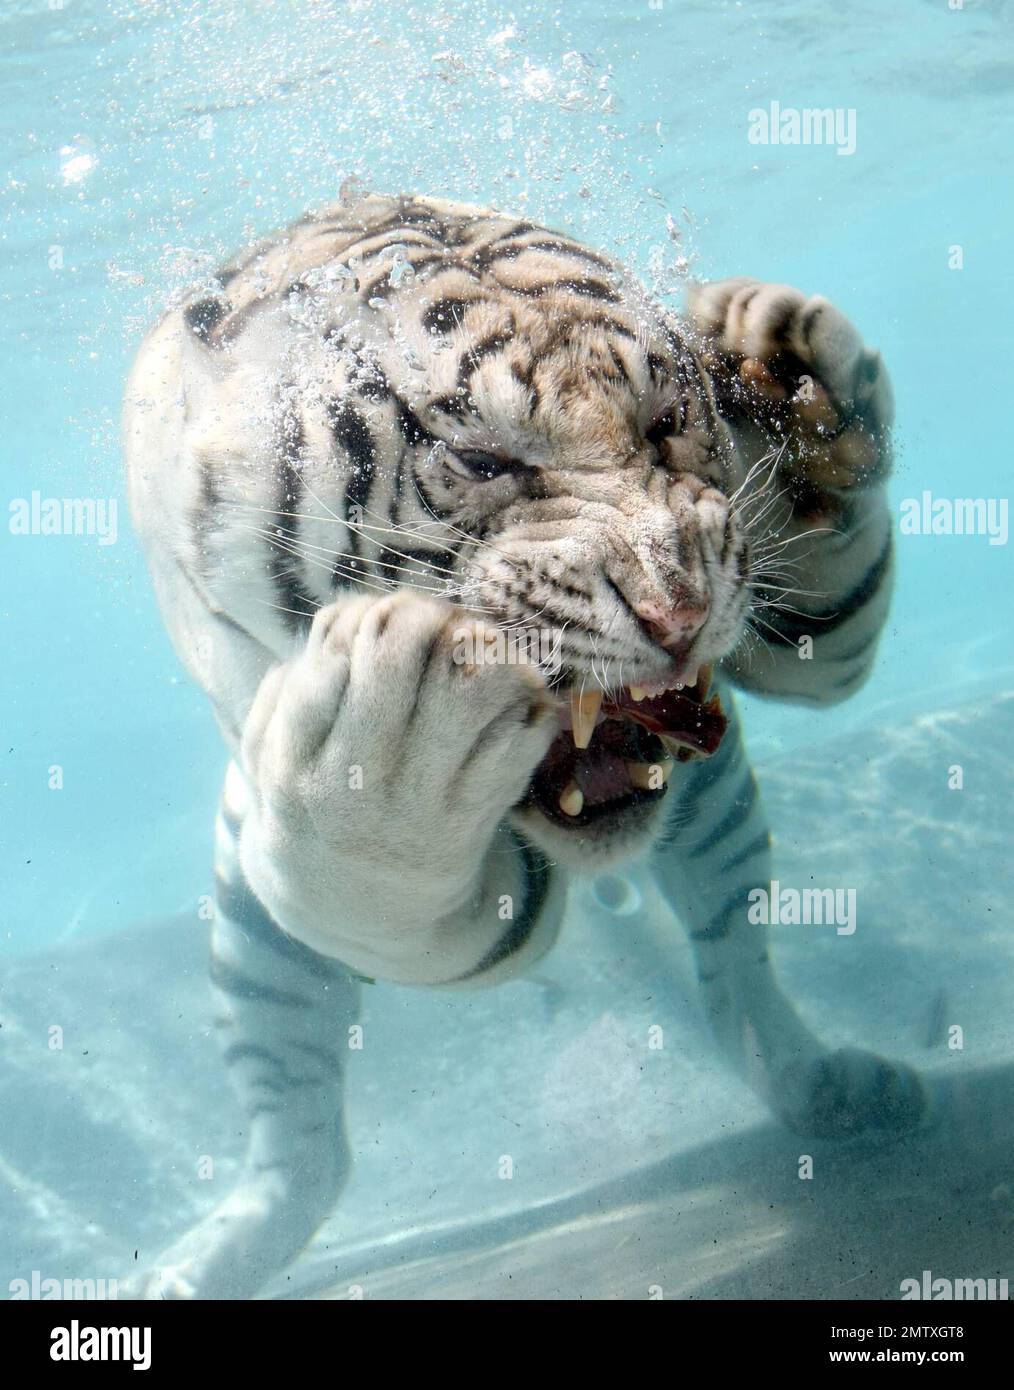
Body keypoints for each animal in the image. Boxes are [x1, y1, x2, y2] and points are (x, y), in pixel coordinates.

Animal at [122, 190, 923, 1295]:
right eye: (482, 462)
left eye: (664, 423)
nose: (679, 613)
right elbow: (394, 862)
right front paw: (400, 724)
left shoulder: (786, 637)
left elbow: (824, 641)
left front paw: (786, 358)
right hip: (252, 936)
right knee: (302, 1144)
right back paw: (189, 1268)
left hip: (722, 825)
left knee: (737, 969)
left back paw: (836, 1089)